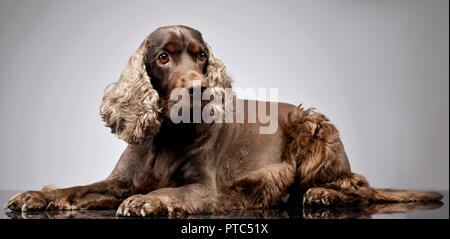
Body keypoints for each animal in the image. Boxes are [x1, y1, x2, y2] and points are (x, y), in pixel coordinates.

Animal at [3, 25, 442, 217]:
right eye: (164, 56)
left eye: (201, 56)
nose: (199, 88)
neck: (166, 136)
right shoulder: (118, 180)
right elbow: (77, 188)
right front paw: (35, 196)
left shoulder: (206, 188)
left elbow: (171, 192)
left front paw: (146, 201)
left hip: (315, 129)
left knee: (360, 187)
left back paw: (325, 195)